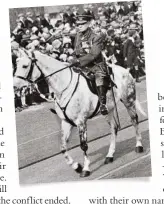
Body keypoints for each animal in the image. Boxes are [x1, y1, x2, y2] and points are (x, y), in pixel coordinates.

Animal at [13, 48, 146, 177]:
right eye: (16, 64)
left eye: (24, 66)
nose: (14, 86)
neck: (63, 87)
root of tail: (125, 70)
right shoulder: (66, 122)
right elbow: (62, 147)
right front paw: (76, 166)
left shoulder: (80, 122)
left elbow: (83, 145)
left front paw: (85, 168)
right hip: (108, 110)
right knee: (114, 128)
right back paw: (110, 155)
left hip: (128, 101)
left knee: (134, 120)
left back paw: (139, 145)